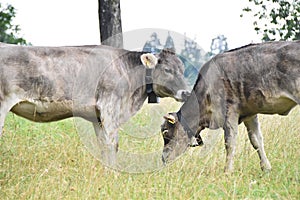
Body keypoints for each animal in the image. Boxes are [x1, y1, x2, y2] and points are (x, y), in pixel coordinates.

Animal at [0, 43, 190, 164]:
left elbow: (104, 146)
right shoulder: (109, 108)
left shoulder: (98, 117)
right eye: (167, 70)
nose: (186, 92)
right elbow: (113, 145)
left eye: (182, 69)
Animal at [162, 40, 300, 172]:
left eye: (166, 133)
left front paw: (227, 171)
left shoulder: (229, 112)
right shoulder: (250, 114)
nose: (163, 158)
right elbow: (256, 140)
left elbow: (230, 142)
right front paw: (266, 168)